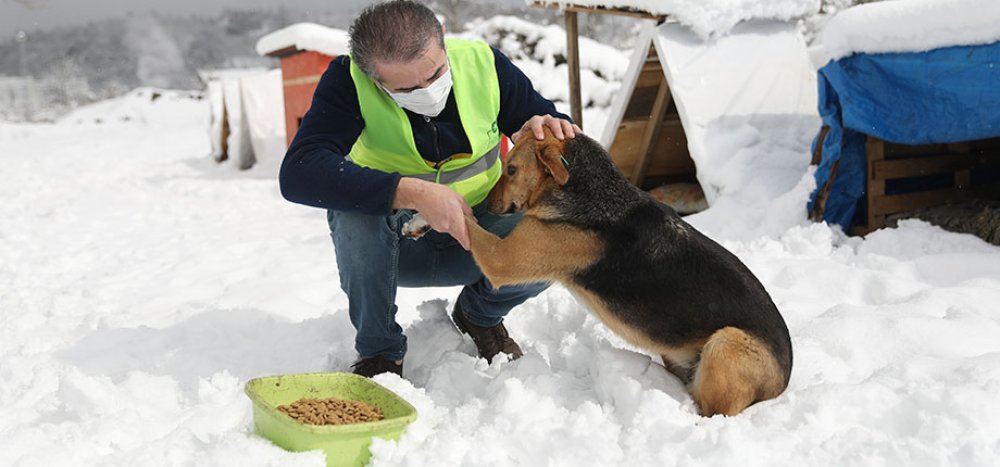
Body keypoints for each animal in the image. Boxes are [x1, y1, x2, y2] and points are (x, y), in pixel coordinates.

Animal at [464, 128, 792, 416]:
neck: (586, 190)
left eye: (511, 170)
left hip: (725, 343)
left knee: (714, 412)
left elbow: (468, 225)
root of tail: (783, 382)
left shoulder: (501, 259)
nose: (485, 204)